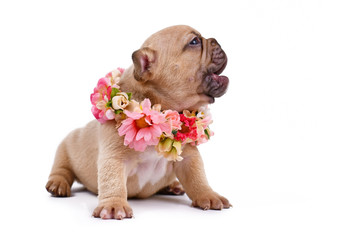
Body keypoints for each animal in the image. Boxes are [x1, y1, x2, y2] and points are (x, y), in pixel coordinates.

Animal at [45, 24, 231, 219]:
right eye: (194, 42)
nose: (215, 40)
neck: (158, 114)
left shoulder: (188, 157)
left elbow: (198, 178)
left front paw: (209, 195)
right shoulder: (114, 158)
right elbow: (113, 180)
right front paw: (113, 205)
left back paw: (172, 186)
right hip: (65, 148)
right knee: (62, 169)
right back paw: (58, 184)